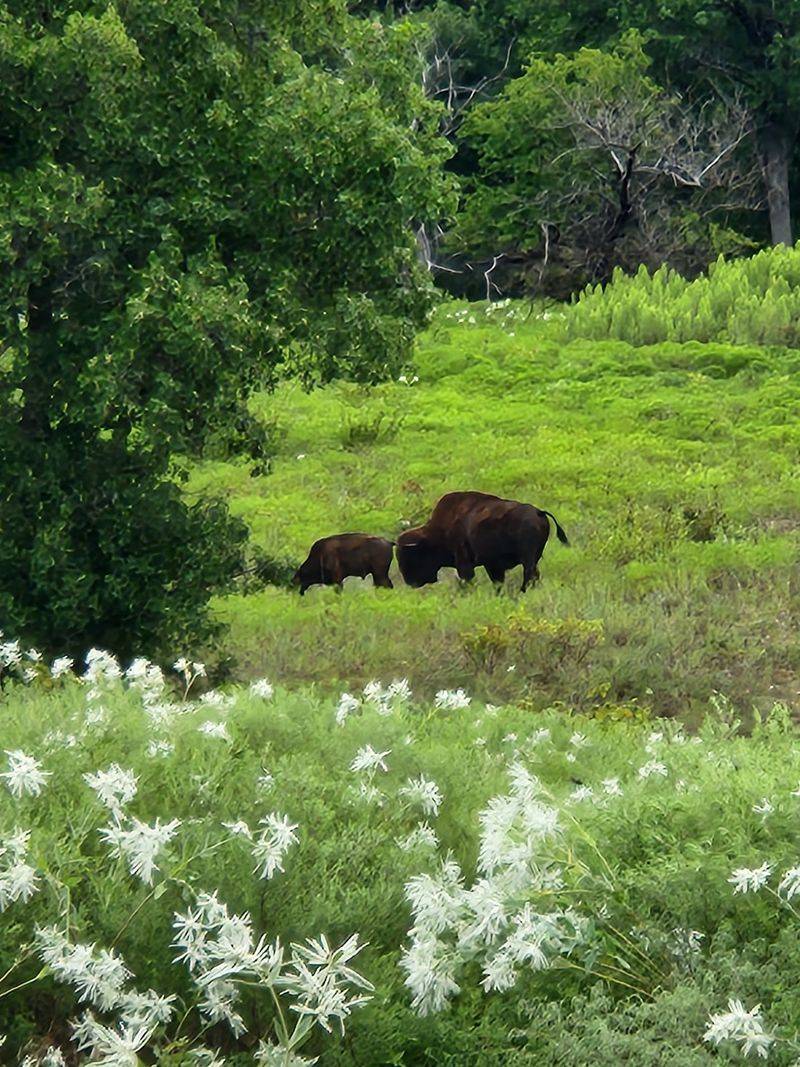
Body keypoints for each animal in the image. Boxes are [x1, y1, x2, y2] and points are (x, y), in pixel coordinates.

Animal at [396, 491, 569, 591]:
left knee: (529, 575)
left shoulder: (464, 562)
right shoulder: (492, 565)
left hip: (528, 559)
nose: (409, 581)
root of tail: (539, 512)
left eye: (409, 555)